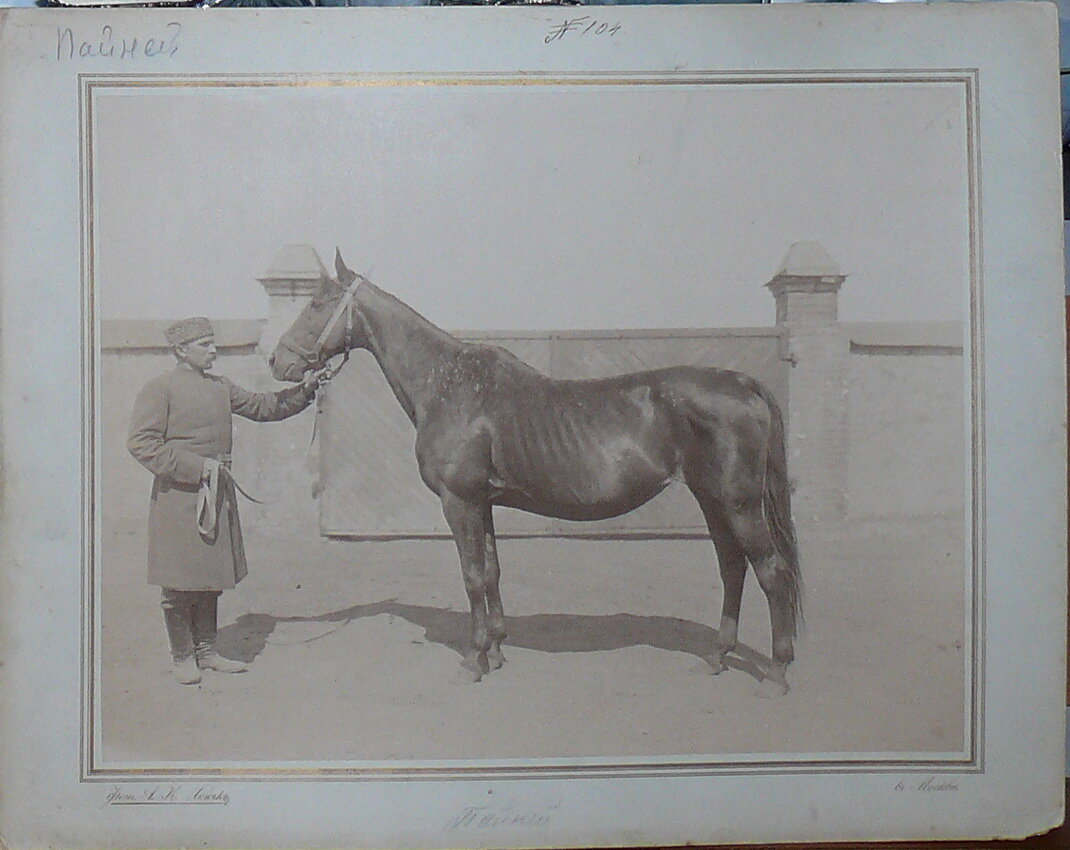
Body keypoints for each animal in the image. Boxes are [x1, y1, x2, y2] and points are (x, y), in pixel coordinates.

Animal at [270, 250, 802, 697]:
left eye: (317, 303)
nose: (278, 361)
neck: (447, 385)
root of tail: (745, 384)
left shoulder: (458, 501)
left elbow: (471, 576)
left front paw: (473, 660)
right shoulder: (481, 502)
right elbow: (490, 572)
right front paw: (496, 650)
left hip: (737, 503)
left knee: (771, 572)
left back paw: (777, 672)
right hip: (711, 500)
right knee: (732, 569)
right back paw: (716, 656)